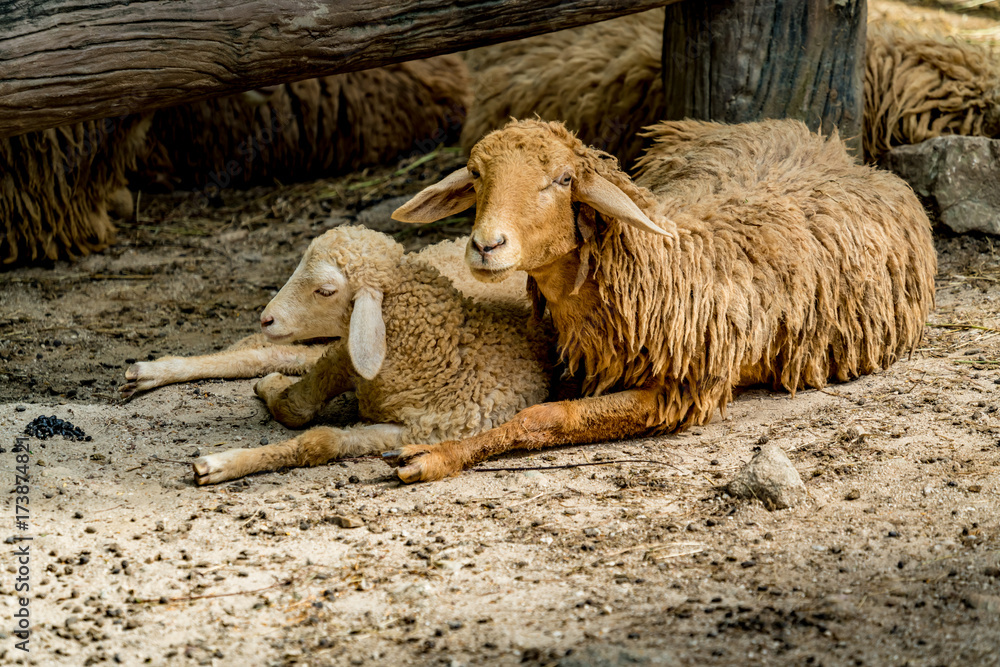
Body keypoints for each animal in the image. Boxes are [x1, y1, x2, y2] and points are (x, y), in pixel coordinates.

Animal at [120, 227, 552, 485]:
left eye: (325, 291)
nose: (266, 317)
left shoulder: (423, 431)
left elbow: (321, 439)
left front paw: (223, 463)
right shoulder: (349, 358)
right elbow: (297, 404)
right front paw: (274, 391)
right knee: (270, 352)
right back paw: (151, 372)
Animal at [386, 118, 937, 482]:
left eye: (564, 179)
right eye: (477, 174)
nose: (486, 246)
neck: (662, 268)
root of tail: (833, 145)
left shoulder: (681, 391)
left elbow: (545, 417)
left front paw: (435, 456)